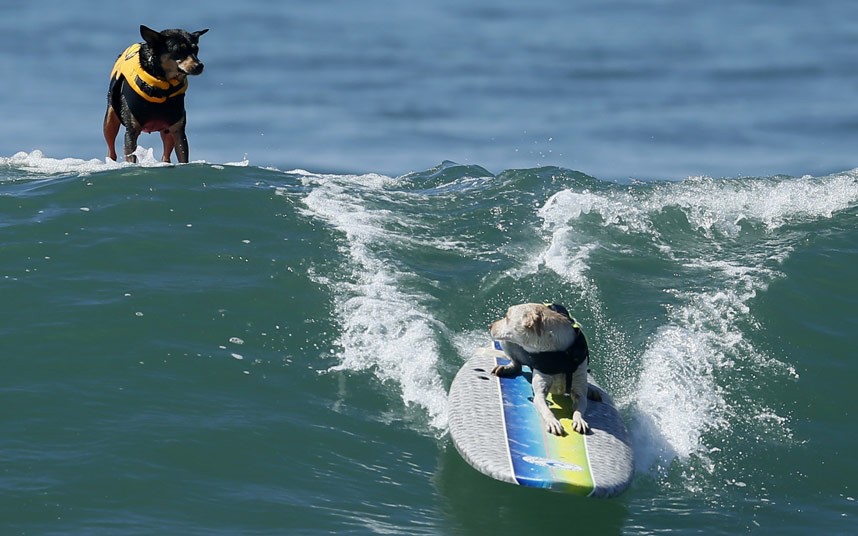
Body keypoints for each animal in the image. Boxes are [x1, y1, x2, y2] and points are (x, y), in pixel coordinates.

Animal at [103, 25, 209, 163]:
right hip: (110, 117)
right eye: (178, 50)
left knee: (166, 155)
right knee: (111, 148)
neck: (163, 86)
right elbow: (131, 155)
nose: (199, 66)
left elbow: (183, 156)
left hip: (167, 130)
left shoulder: (178, 130)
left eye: (196, 49)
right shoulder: (131, 130)